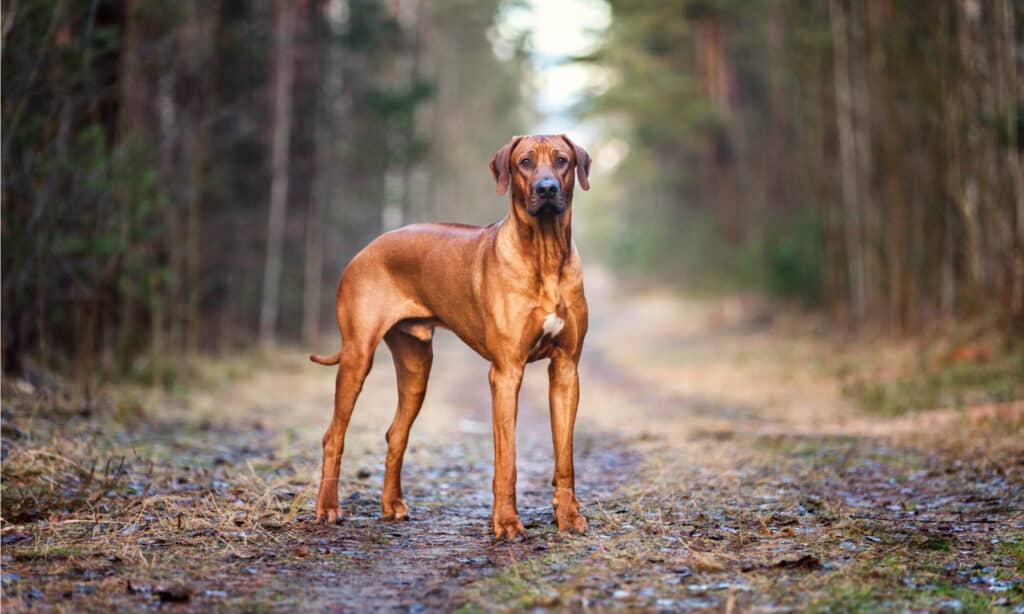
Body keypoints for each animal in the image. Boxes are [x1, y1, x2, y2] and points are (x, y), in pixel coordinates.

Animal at [307, 133, 589, 536]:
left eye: (562, 160)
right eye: (525, 162)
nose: (546, 188)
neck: (545, 255)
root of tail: (366, 249)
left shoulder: (566, 370)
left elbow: (565, 457)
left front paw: (567, 516)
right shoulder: (506, 373)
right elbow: (507, 460)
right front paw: (506, 522)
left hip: (416, 366)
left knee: (396, 433)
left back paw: (392, 505)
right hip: (357, 356)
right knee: (334, 435)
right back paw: (328, 507)